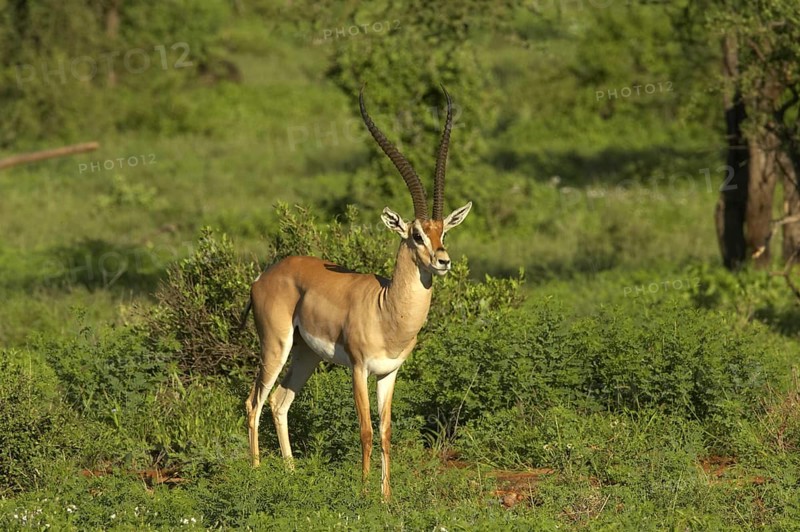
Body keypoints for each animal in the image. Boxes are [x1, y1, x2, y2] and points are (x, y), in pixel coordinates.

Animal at [243, 85, 472, 501]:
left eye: (443, 232)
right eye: (417, 235)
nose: (443, 261)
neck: (387, 309)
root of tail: (264, 276)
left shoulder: (389, 373)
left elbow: (385, 432)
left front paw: (386, 497)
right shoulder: (358, 368)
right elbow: (365, 430)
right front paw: (364, 495)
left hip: (305, 354)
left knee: (281, 403)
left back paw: (291, 475)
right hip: (275, 346)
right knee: (254, 402)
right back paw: (255, 473)